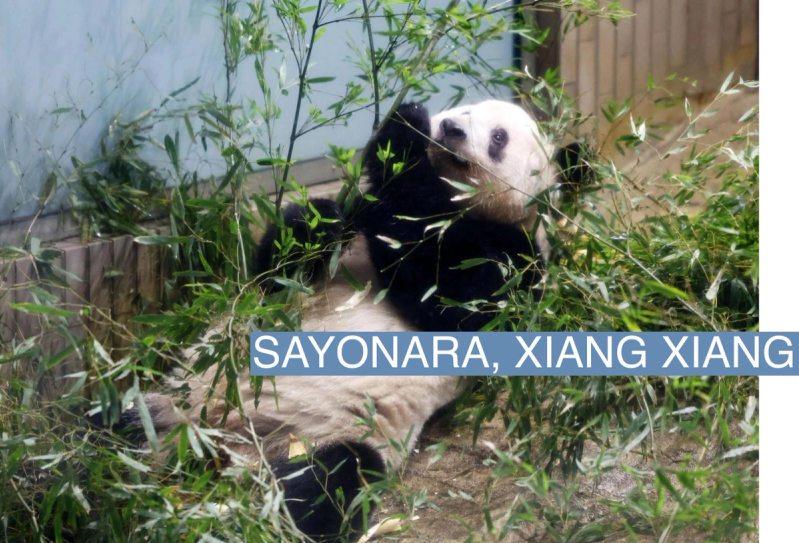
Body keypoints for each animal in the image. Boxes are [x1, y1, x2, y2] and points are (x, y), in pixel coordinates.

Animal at [133, 99, 592, 542]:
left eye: (499, 137)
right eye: (460, 110)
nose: (450, 130)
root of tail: (215, 450)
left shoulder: (517, 264)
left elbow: (451, 296)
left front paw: (404, 137)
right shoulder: (351, 225)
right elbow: (276, 272)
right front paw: (322, 216)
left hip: (320, 436)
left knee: (328, 484)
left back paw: (247, 521)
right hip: (176, 396)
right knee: (124, 423)